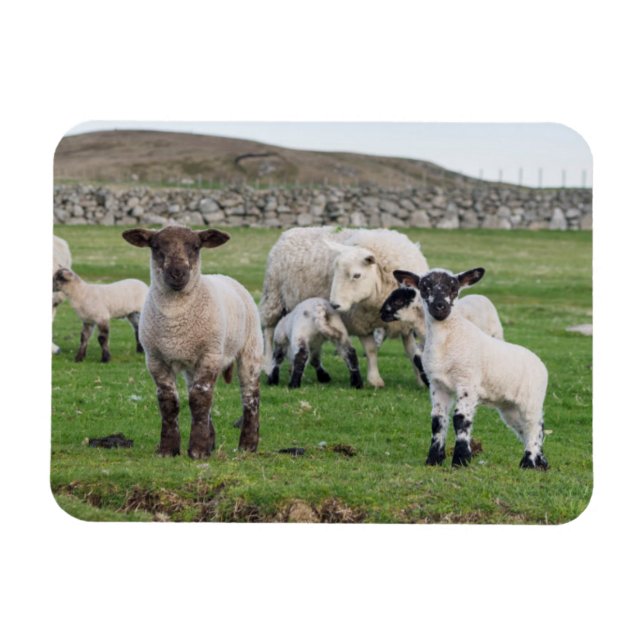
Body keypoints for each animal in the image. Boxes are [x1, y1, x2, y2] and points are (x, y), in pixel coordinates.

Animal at [122, 225, 263, 459]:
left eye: (196, 246)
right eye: (156, 246)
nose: (177, 273)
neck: (175, 321)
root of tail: (226, 277)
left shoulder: (210, 354)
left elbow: (200, 399)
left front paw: (197, 450)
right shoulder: (155, 358)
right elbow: (169, 402)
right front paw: (168, 449)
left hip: (250, 349)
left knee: (250, 396)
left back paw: (248, 445)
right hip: (191, 365)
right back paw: (212, 441)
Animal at [259, 226, 429, 388]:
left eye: (357, 275)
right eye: (335, 272)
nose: (334, 304)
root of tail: (290, 231)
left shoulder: (406, 324)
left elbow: (412, 352)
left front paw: (421, 380)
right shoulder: (360, 323)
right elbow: (371, 350)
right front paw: (375, 380)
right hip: (273, 296)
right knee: (269, 331)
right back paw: (268, 366)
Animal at [393, 266, 549, 469]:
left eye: (454, 287)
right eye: (424, 287)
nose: (440, 307)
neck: (447, 339)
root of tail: (540, 363)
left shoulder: (467, 382)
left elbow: (460, 419)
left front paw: (461, 459)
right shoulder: (437, 385)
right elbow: (438, 420)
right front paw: (433, 460)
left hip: (531, 400)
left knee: (534, 427)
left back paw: (529, 462)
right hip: (509, 406)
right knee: (524, 428)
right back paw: (541, 464)